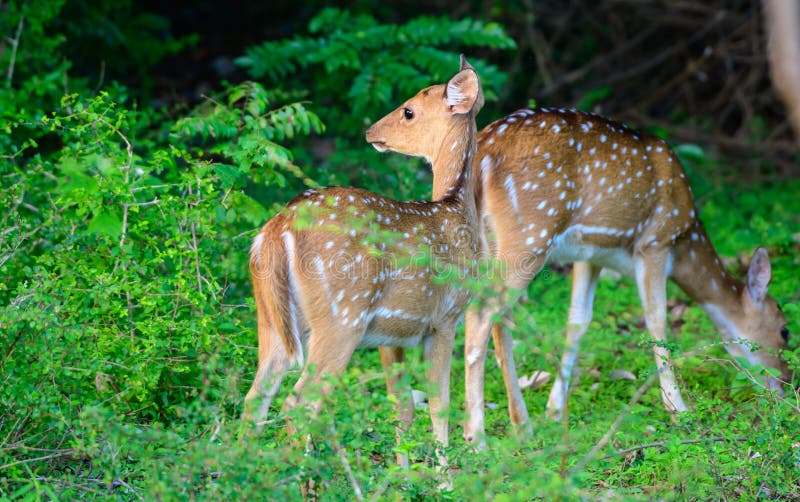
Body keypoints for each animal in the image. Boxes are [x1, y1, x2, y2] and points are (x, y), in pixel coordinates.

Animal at [242, 56, 482, 466]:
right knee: (297, 402)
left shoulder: (392, 334)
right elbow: (440, 403)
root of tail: (276, 229)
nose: (370, 131)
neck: (454, 209)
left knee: (255, 397)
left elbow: (404, 405)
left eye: (408, 111)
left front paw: (403, 471)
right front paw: (443, 472)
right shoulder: (445, 316)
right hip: (342, 317)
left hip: (272, 318)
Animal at [460, 108, 792, 446]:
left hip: (489, 244)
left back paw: (522, 424)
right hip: (531, 233)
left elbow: (578, 321)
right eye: (784, 331)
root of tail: (484, 153)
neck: (686, 239)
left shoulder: (590, 255)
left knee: (500, 319)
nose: (787, 384)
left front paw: (554, 410)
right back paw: (476, 438)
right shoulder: (655, 242)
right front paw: (678, 409)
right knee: (480, 313)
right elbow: (657, 319)